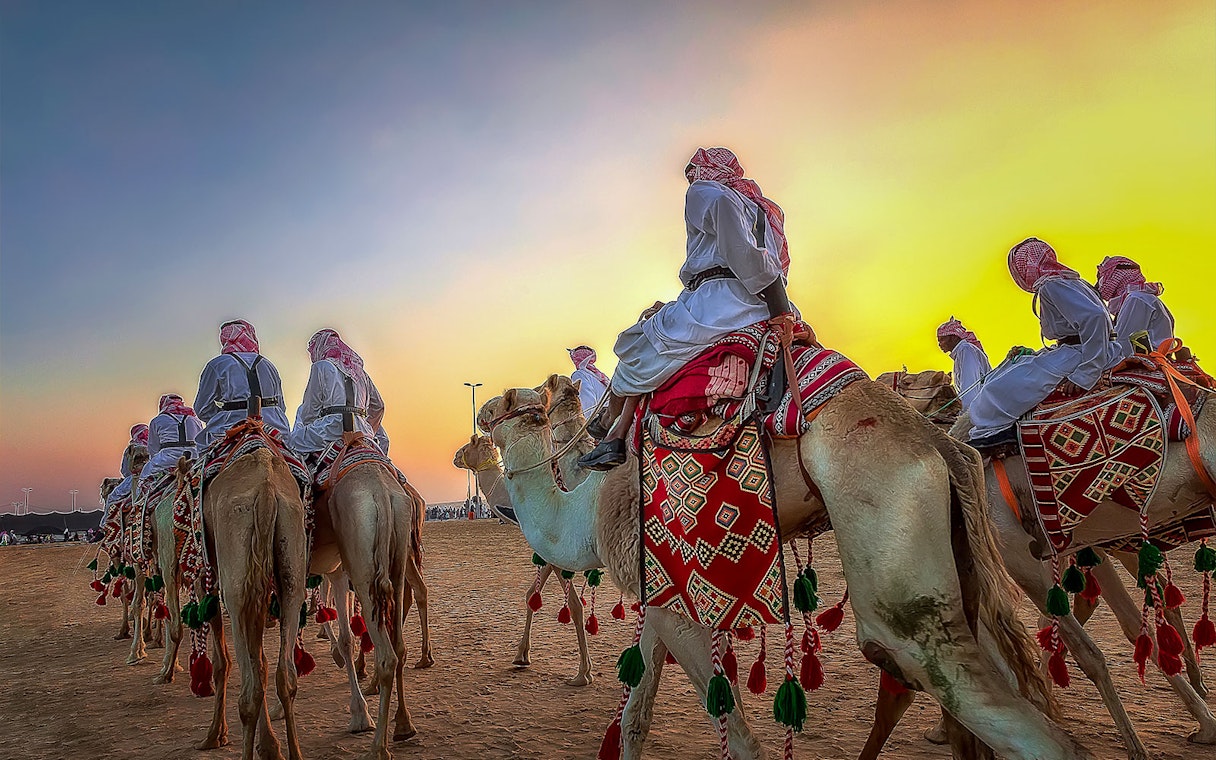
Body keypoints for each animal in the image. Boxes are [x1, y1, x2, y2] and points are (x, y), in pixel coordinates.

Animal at [195, 435, 309, 760]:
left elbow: (223, 662)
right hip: (291, 552)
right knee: (285, 675)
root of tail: (267, 489)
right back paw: (294, 752)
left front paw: (215, 736)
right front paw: (270, 746)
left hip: (236, 580)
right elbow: (263, 662)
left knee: (249, 690)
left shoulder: (209, 579)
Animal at [453, 374, 596, 686]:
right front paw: (521, 656)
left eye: (468, 446)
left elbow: (574, 605)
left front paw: (583, 672)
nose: (455, 456)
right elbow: (532, 594)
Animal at [485, 381, 1091, 760]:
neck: (586, 511)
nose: (480, 414)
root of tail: (939, 443)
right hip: (959, 561)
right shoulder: (656, 595)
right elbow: (635, 723)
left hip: (892, 546)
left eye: (502, 403)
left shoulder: (667, 597)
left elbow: (739, 738)